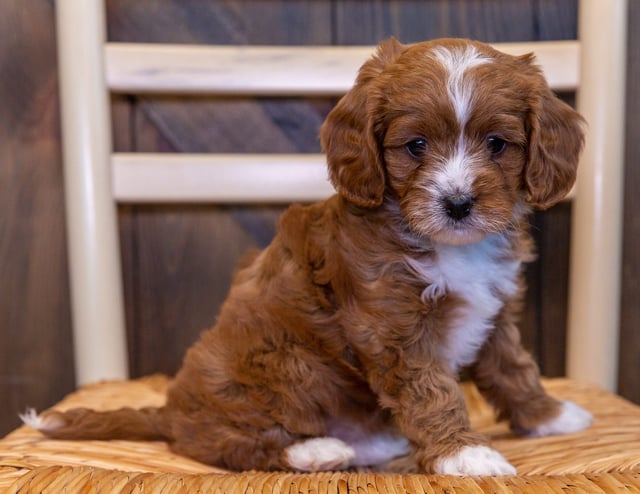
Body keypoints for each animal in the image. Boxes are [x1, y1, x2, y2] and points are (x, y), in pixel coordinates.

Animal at [25, 37, 596, 474]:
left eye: (498, 144)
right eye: (415, 146)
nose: (457, 204)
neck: (449, 247)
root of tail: (168, 412)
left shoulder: (494, 311)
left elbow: (512, 368)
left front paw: (548, 415)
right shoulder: (392, 329)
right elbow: (432, 390)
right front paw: (463, 455)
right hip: (282, 362)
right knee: (221, 443)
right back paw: (314, 450)